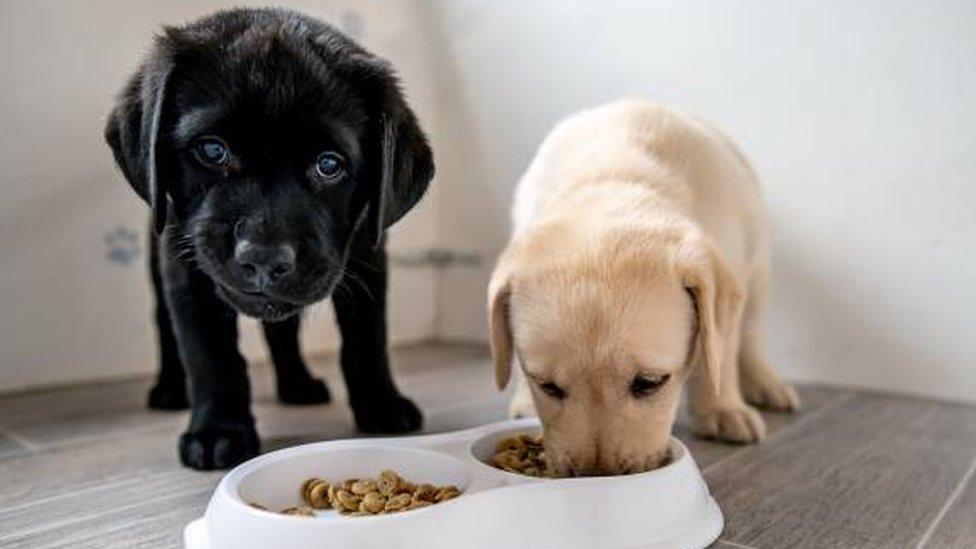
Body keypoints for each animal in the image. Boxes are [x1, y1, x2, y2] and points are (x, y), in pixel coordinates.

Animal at [104, 8, 434, 468]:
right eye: (212, 151)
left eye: (329, 165)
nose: (263, 259)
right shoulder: (185, 269)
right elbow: (210, 355)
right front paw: (218, 431)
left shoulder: (368, 259)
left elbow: (366, 340)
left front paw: (381, 403)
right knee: (166, 327)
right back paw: (170, 388)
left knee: (283, 330)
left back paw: (298, 383)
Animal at [488, 98, 800, 476]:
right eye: (547, 386)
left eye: (649, 384)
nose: (598, 476)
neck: (615, 176)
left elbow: (718, 355)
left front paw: (722, 407)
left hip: (758, 269)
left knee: (750, 332)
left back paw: (765, 383)